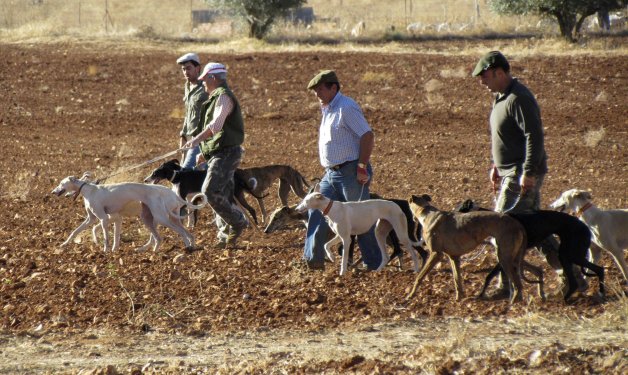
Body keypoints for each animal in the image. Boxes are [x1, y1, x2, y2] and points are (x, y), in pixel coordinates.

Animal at [456, 200, 604, 302]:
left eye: (459, 208)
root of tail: (584, 226)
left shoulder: (504, 255)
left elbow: (489, 276)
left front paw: (480, 294)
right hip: (567, 254)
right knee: (586, 275)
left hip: (570, 254)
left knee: (596, 270)